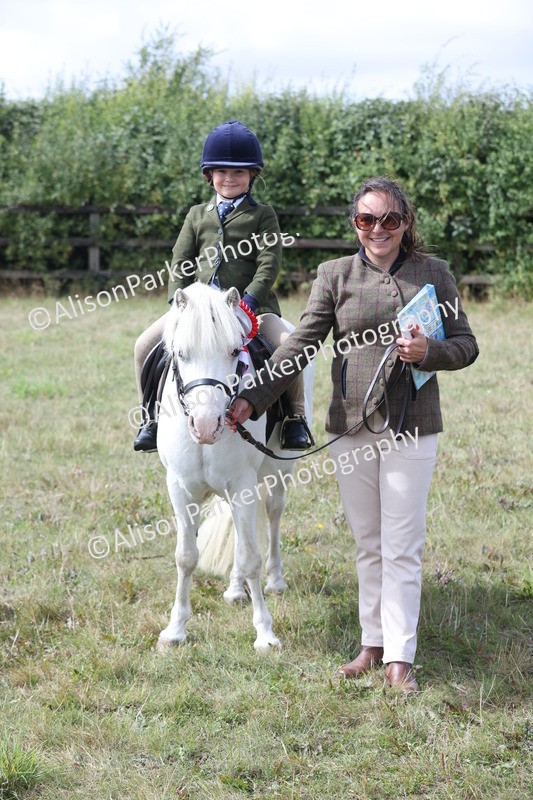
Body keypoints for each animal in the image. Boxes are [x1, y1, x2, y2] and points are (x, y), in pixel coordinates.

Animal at [156, 282, 314, 652]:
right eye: (181, 354)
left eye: (233, 351)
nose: (205, 425)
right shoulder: (179, 488)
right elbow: (186, 556)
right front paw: (175, 630)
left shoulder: (243, 485)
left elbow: (252, 558)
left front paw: (265, 634)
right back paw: (234, 588)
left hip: (278, 474)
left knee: (272, 515)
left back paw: (275, 580)